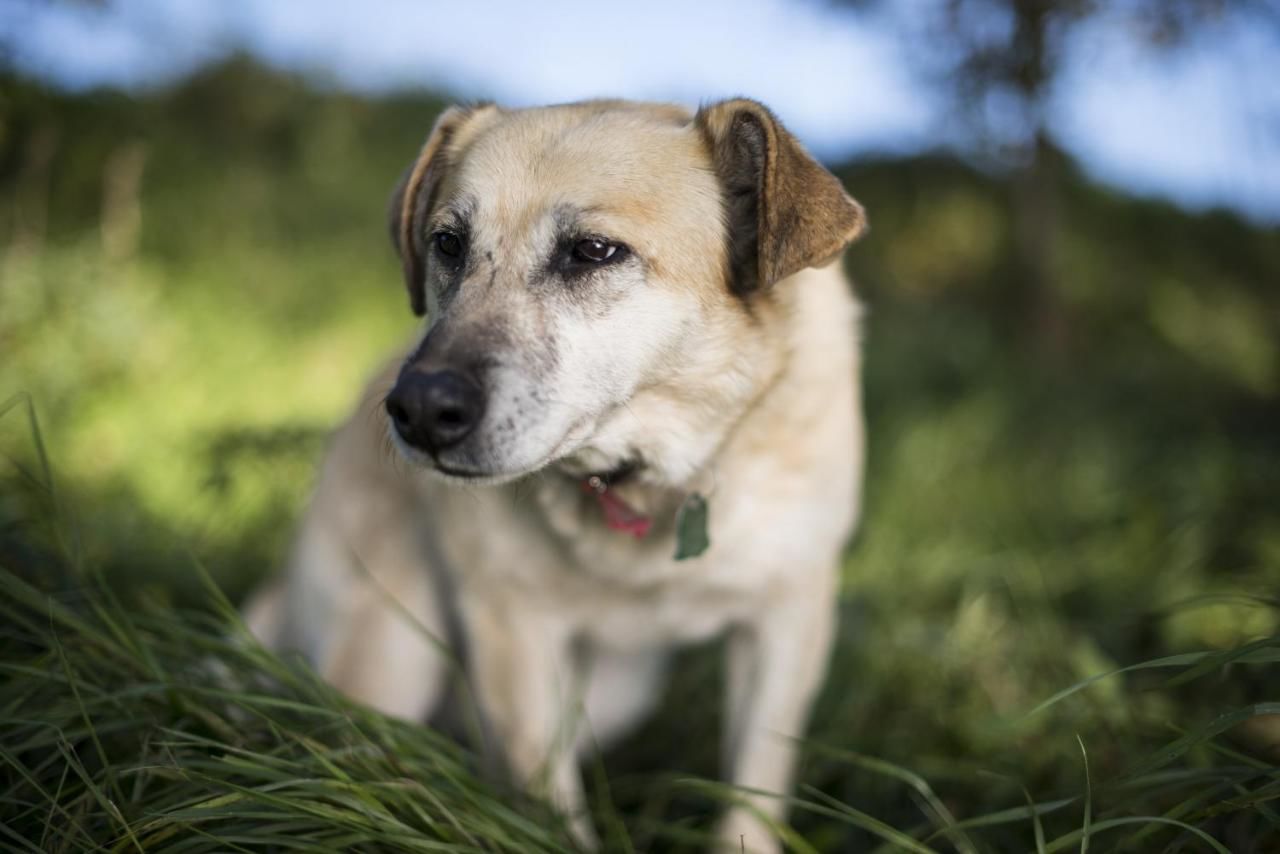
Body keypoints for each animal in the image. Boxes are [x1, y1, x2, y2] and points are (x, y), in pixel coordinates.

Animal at [244, 96, 865, 850]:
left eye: (593, 251)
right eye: (448, 244)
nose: (417, 409)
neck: (646, 483)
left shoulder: (787, 625)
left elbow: (752, 794)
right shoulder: (513, 627)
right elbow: (548, 803)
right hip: (390, 651)